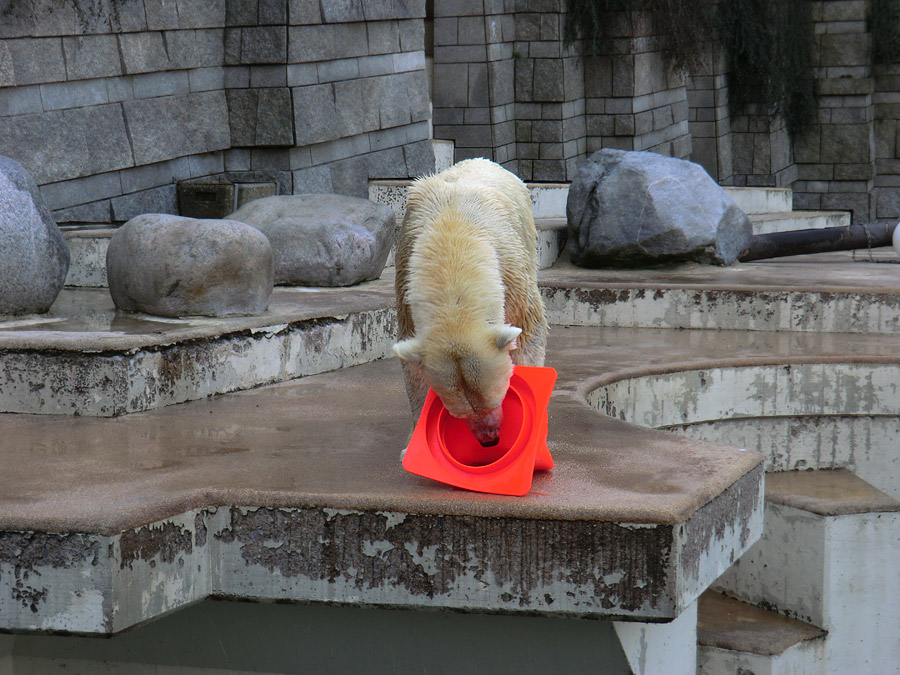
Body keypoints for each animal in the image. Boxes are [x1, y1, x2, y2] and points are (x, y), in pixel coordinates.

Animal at [394, 156, 548, 446]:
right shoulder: (405, 278)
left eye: (497, 398)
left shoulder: (510, 271)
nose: (490, 440)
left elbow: (528, 336)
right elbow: (413, 370)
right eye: (460, 412)